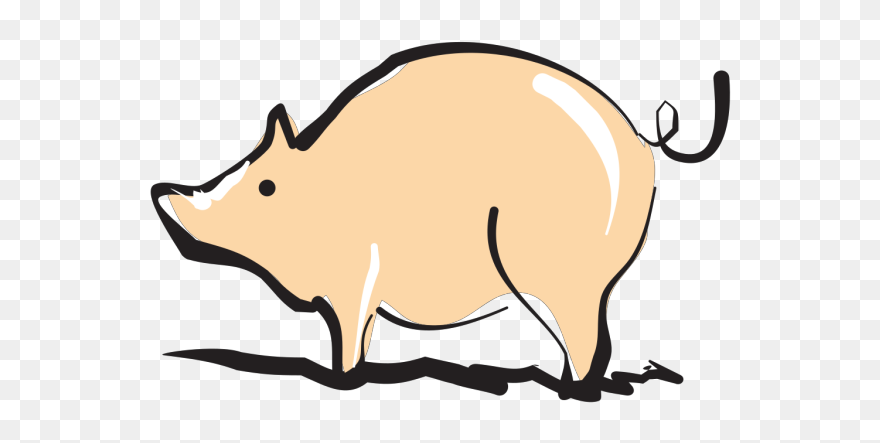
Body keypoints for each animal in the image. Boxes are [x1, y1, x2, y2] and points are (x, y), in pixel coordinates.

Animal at [151, 42, 729, 400]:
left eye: (266, 186)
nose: (163, 194)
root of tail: (642, 137)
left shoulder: (355, 284)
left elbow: (349, 339)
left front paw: (341, 382)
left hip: (563, 274)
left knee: (587, 338)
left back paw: (569, 391)